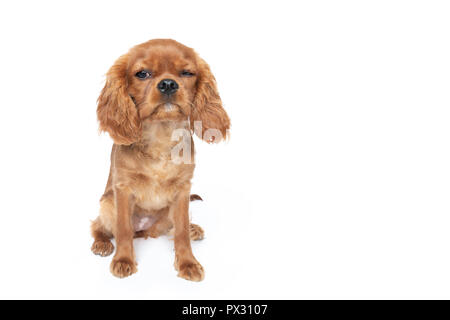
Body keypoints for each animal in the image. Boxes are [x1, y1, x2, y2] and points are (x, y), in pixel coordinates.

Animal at [92, 39, 232, 280]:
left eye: (187, 73)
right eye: (142, 73)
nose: (168, 84)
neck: (161, 135)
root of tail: (145, 230)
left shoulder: (183, 190)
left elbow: (181, 232)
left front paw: (188, 263)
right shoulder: (123, 190)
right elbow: (123, 230)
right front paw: (123, 260)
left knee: (173, 229)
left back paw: (193, 229)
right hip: (107, 203)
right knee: (99, 227)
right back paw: (102, 244)